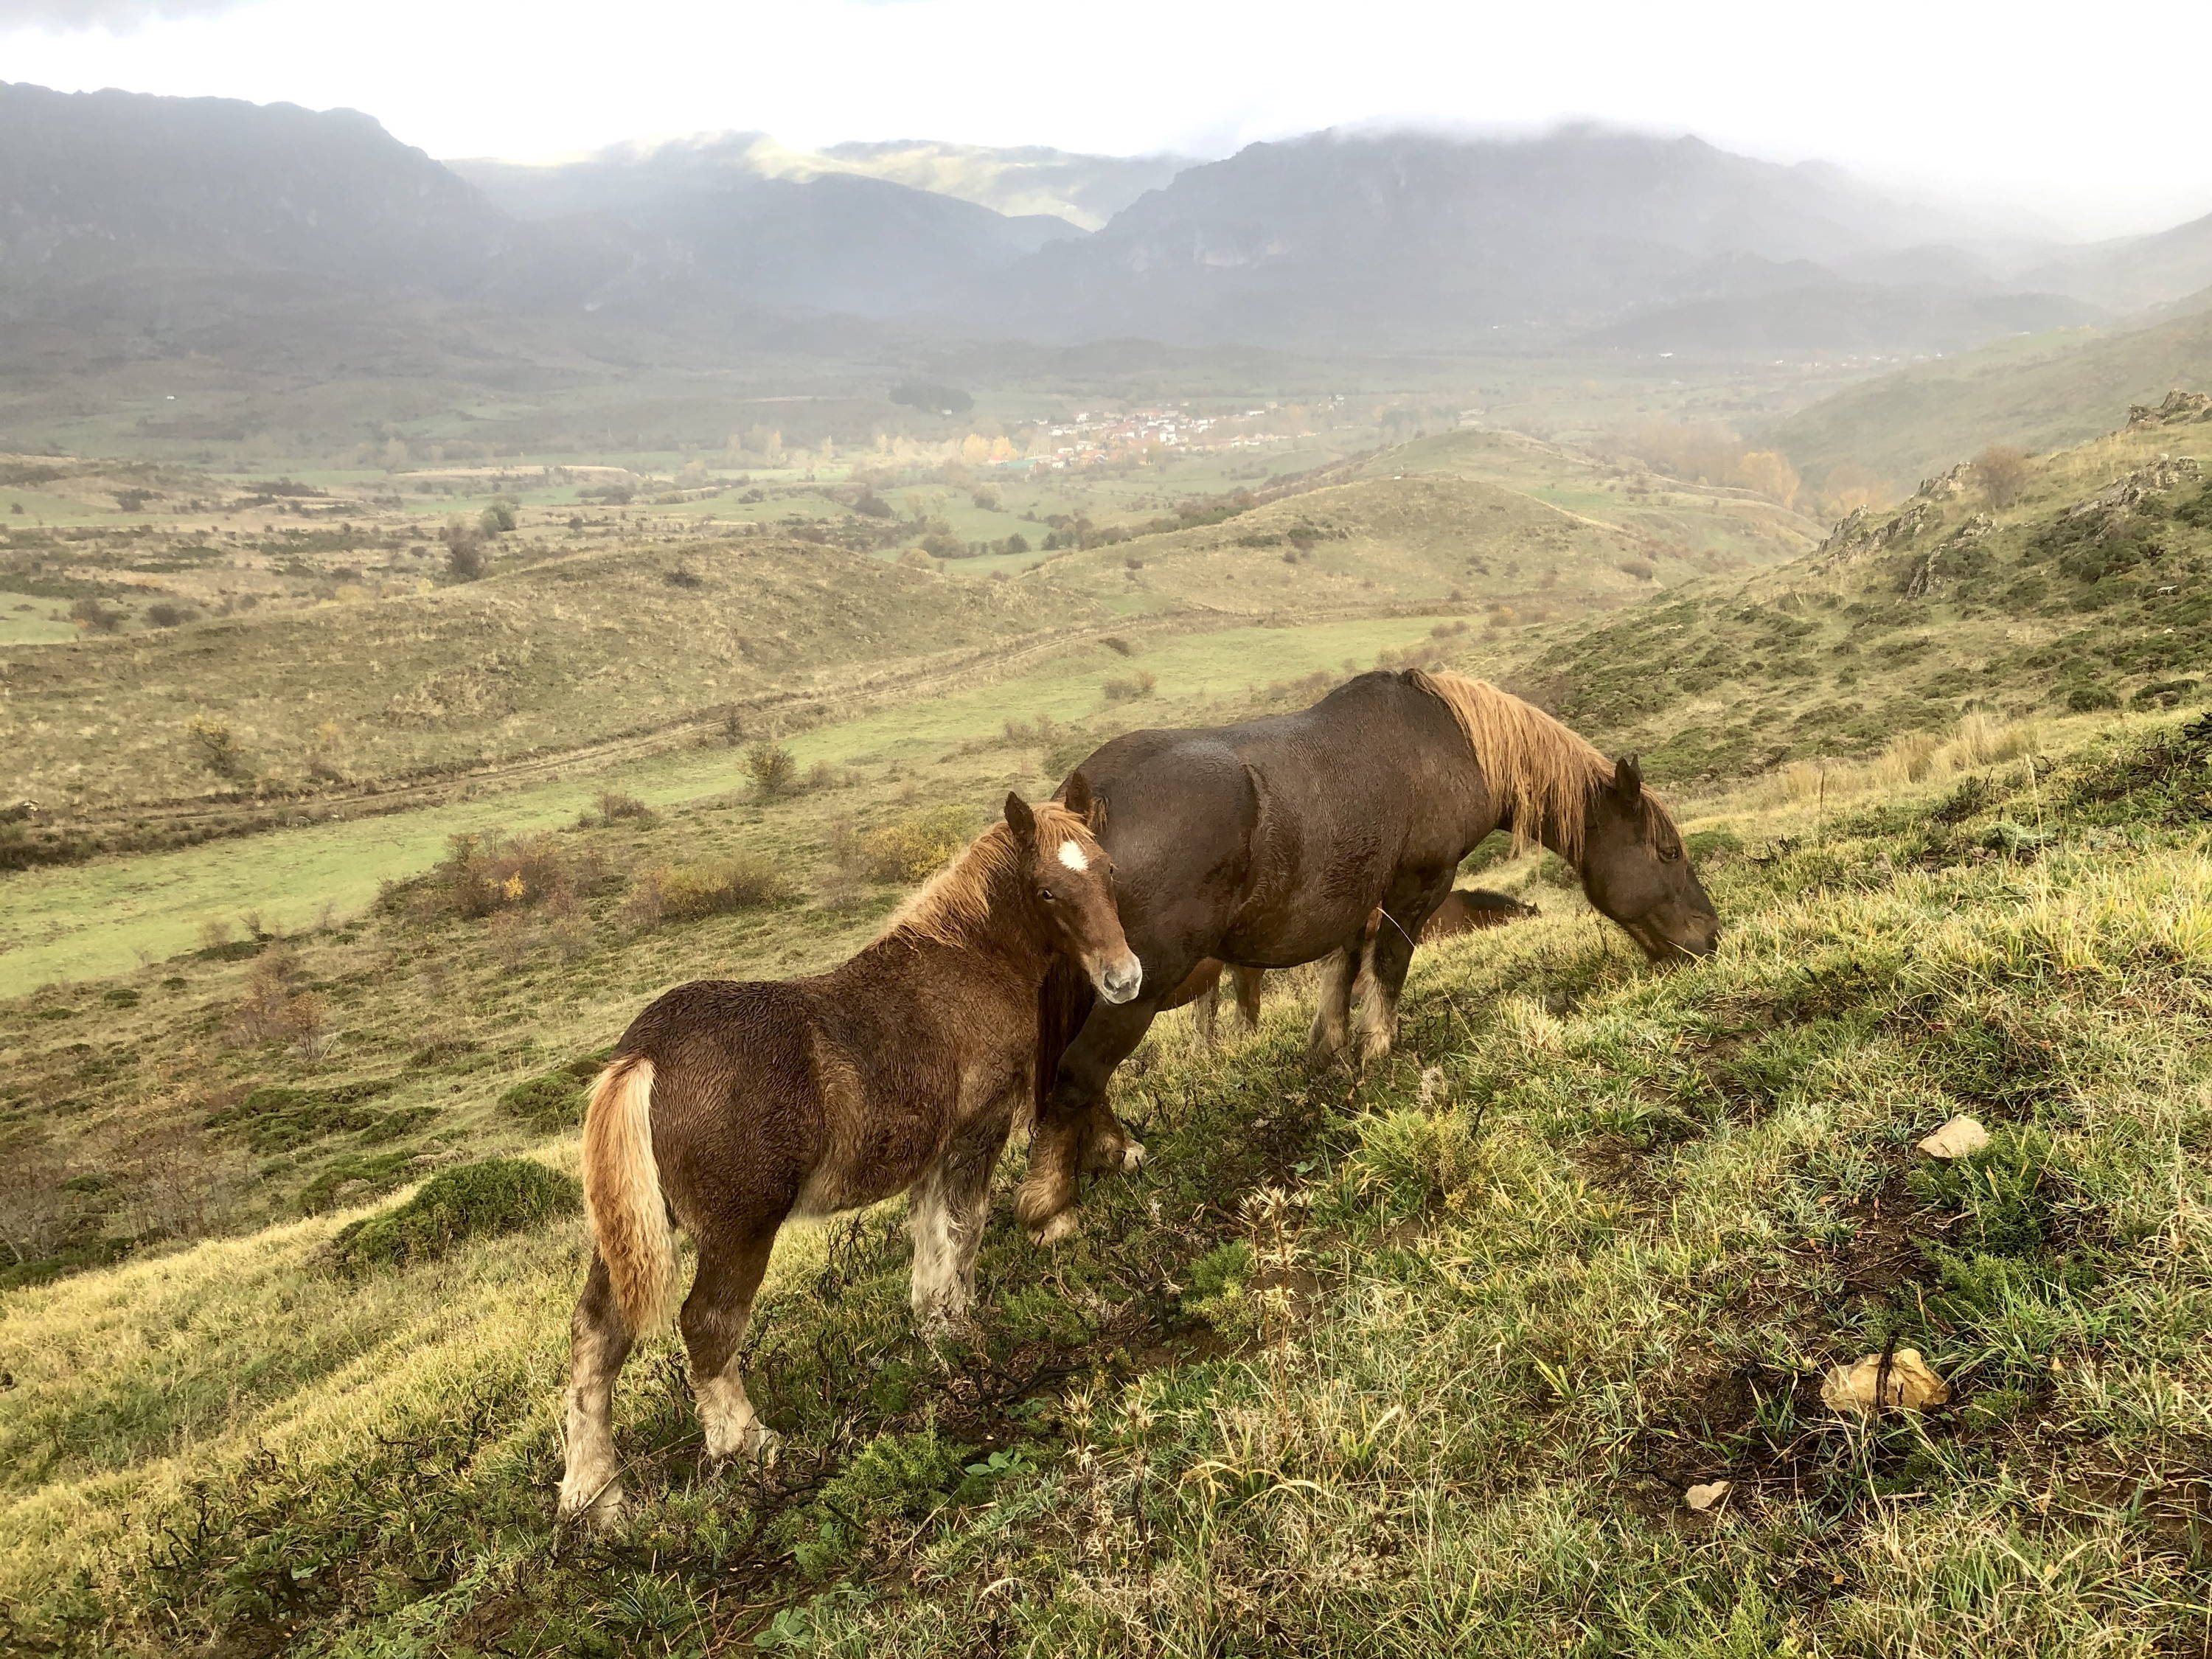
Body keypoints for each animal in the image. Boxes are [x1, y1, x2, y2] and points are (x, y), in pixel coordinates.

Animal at [553, 787, 1141, 1531]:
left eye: (1109, 872)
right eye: (1045, 889)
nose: (1124, 979)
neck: (966, 964)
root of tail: (644, 1054)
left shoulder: (932, 1156)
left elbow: (932, 1241)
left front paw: (938, 1330)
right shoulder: (976, 1135)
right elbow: (966, 1230)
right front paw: (965, 1331)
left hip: (623, 1237)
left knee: (595, 1339)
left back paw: (594, 1495)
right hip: (738, 1231)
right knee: (707, 1325)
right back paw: (748, 1443)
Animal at [1022, 668, 1725, 1239]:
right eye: (1667, 852)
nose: (1711, 938)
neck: (1447, 742)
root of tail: (1088, 805)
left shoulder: (1357, 895)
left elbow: (1343, 968)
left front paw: (1332, 1048)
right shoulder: (1419, 882)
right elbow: (1388, 965)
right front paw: (1378, 1047)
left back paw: (1113, 1152)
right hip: (1139, 983)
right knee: (1080, 1070)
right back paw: (1050, 1207)